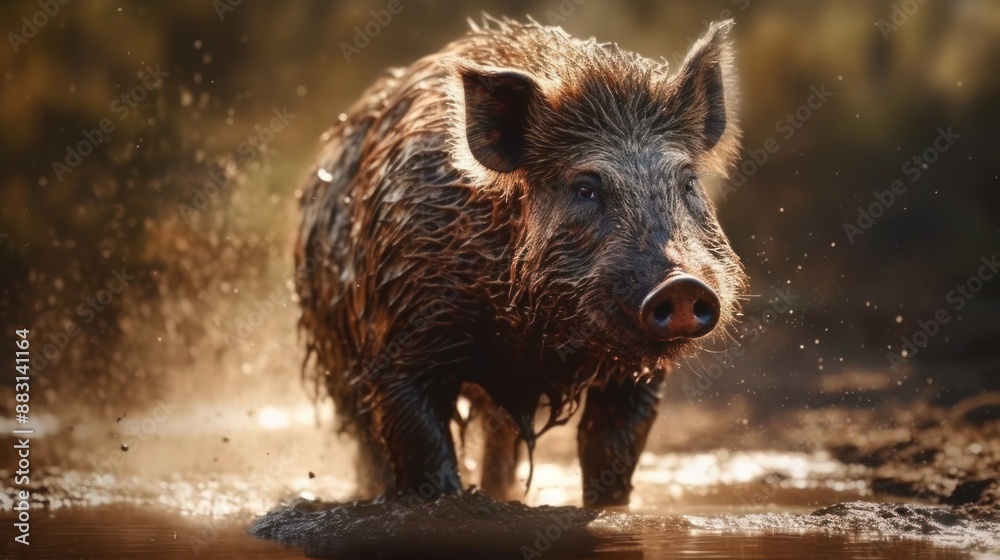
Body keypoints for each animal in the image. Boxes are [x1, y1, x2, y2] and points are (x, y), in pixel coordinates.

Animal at [294, 16, 747, 506]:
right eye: (585, 188)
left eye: (687, 182)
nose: (681, 284)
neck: (532, 334)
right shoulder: (397, 348)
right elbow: (424, 453)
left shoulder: (640, 378)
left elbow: (611, 451)